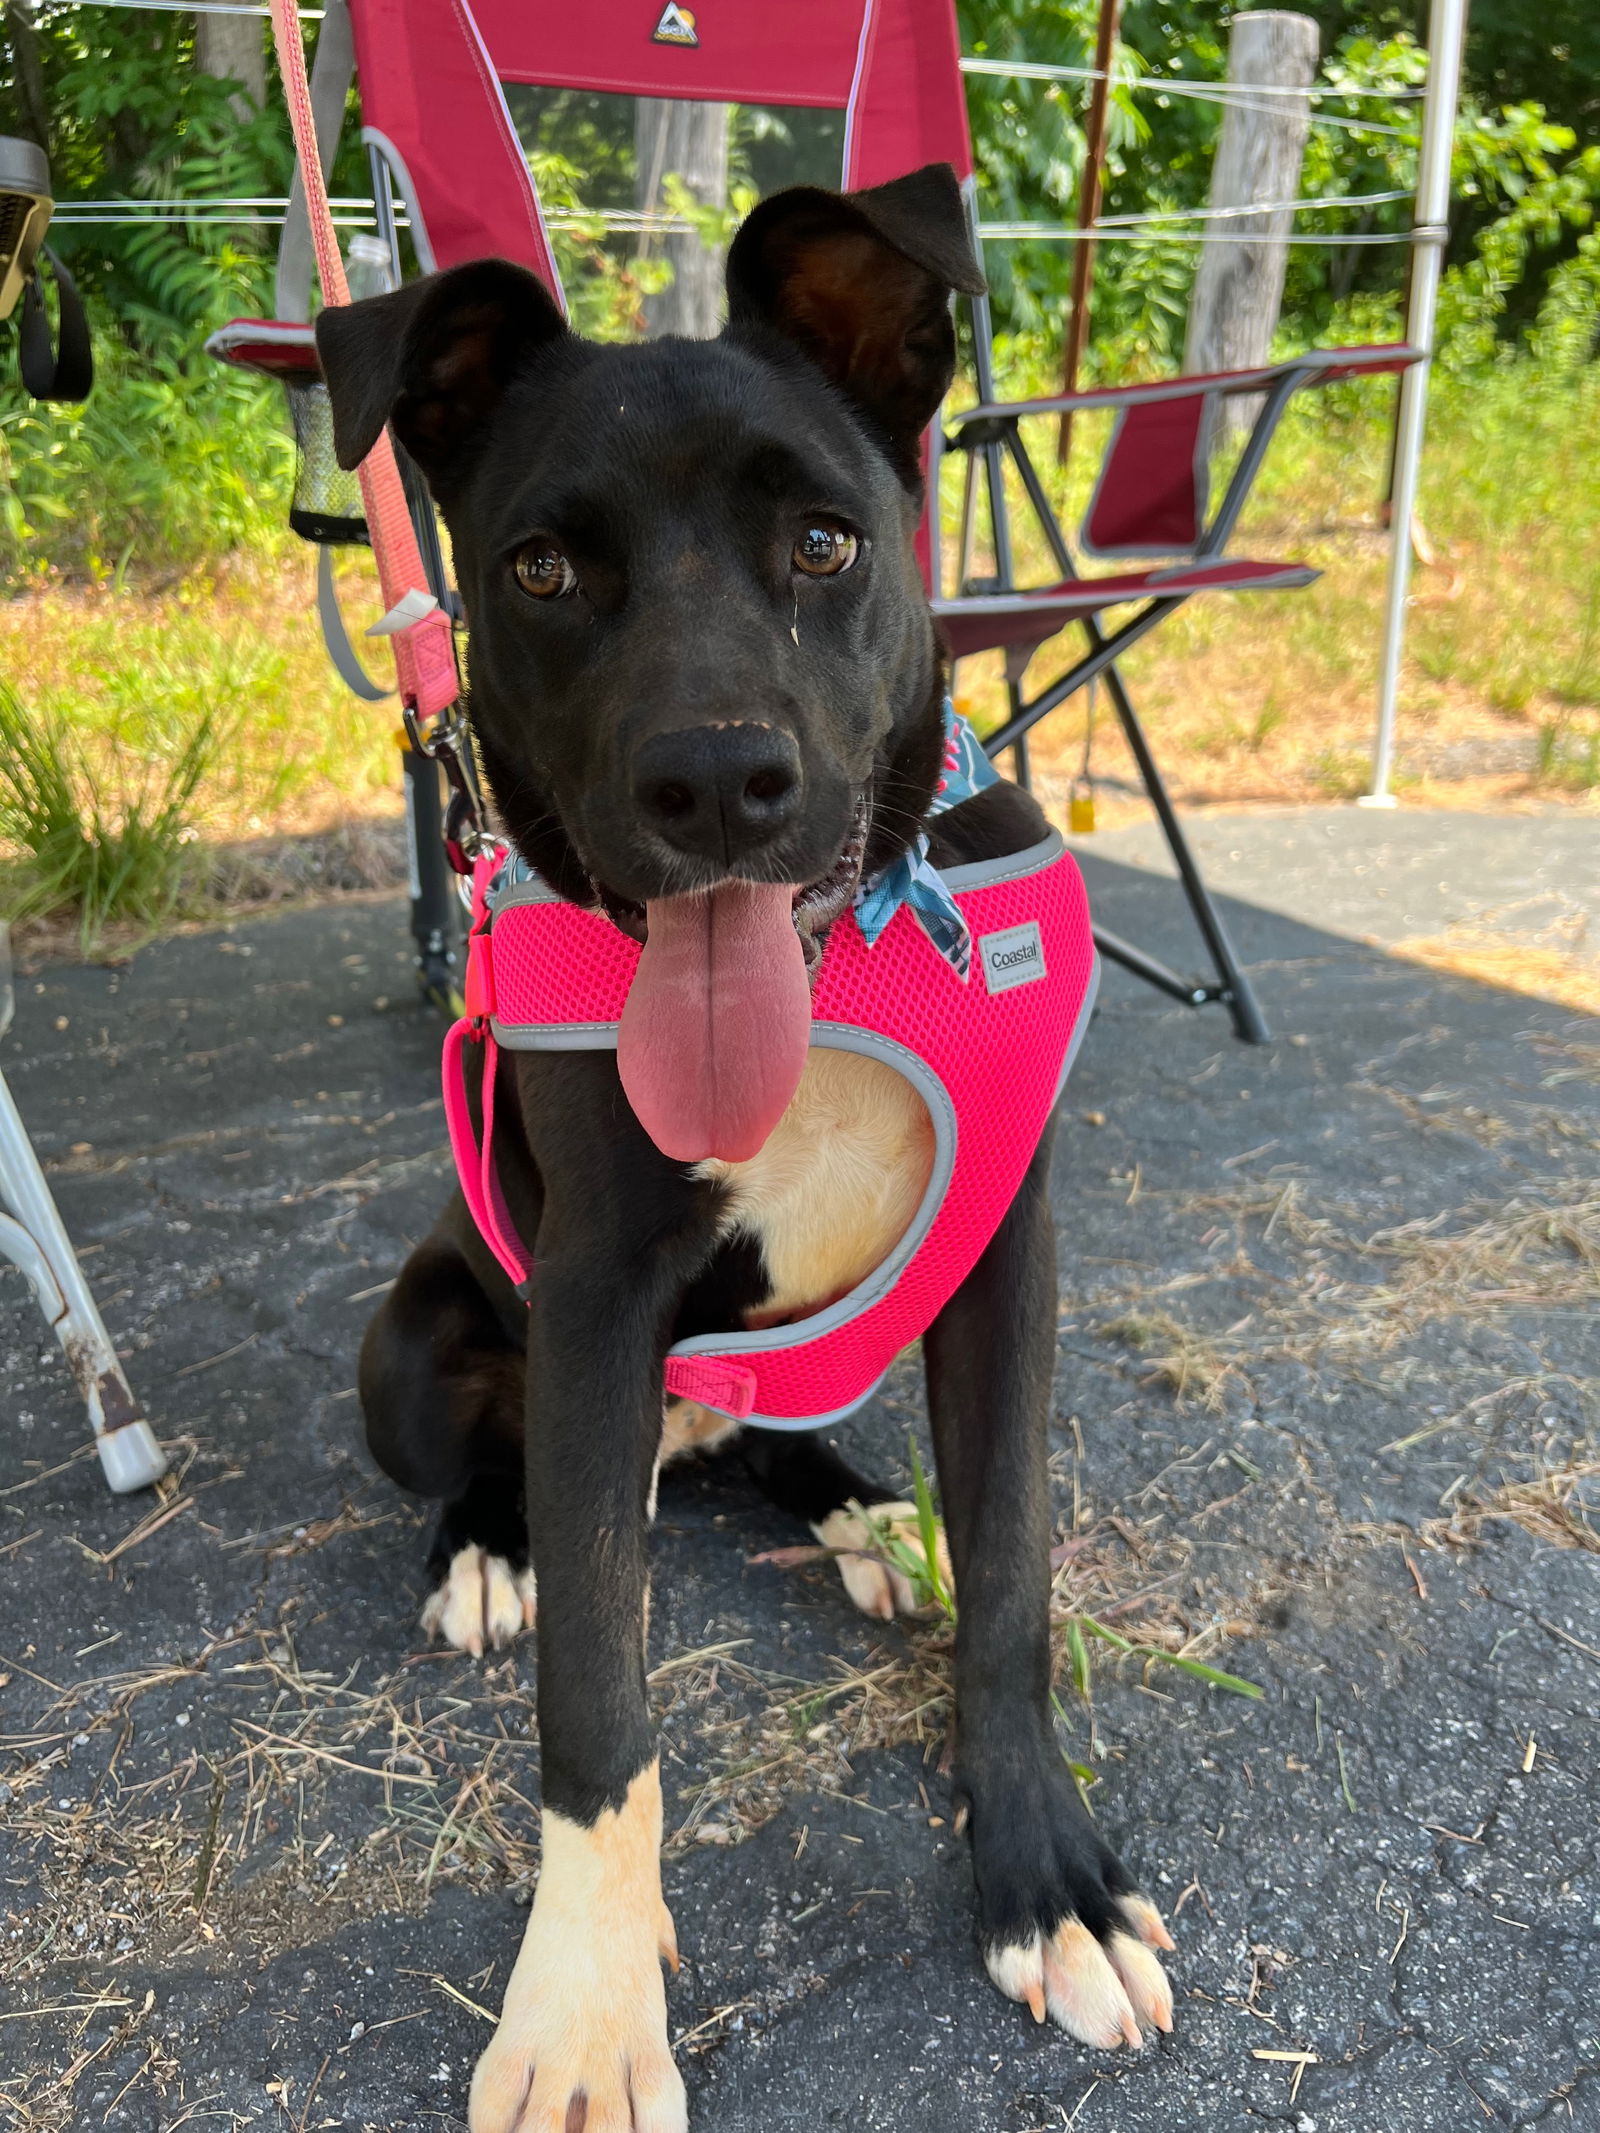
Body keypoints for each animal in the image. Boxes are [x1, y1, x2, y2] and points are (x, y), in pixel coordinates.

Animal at [322, 162, 1177, 2133]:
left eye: (824, 542)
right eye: (540, 571)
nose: (715, 784)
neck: (838, 959)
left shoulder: (1005, 1256)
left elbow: (1012, 1578)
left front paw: (1046, 1880)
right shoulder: (596, 1295)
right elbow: (596, 1709)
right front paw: (579, 2009)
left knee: (769, 1445)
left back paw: (865, 1511)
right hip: (414, 1345)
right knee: (507, 1468)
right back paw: (491, 1548)